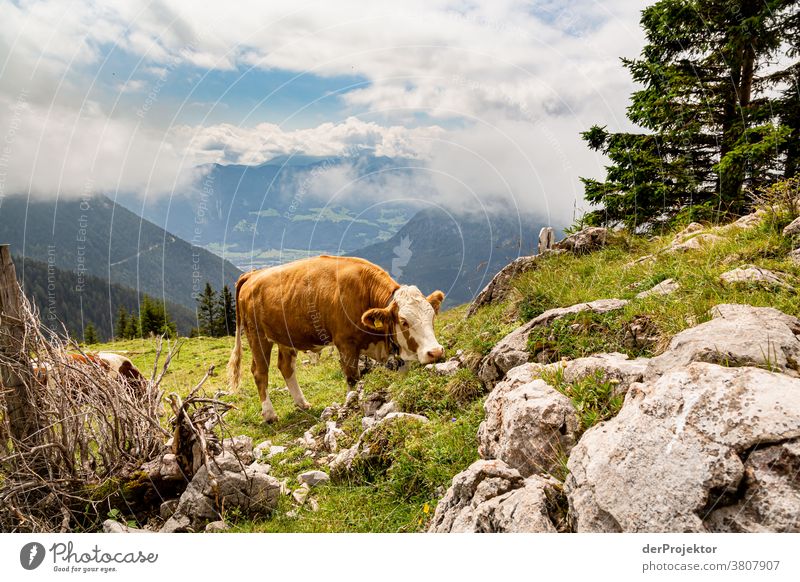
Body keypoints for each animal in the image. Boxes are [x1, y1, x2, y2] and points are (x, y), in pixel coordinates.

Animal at [228, 258, 446, 422]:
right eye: (403, 321)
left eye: (432, 316)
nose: (435, 352)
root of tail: (253, 274)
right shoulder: (346, 343)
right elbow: (352, 378)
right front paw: (351, 404)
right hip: (257, 336)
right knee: (260, 372)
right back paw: (270, 414)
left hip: (285, 337)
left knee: (286, 367)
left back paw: (302, 403)